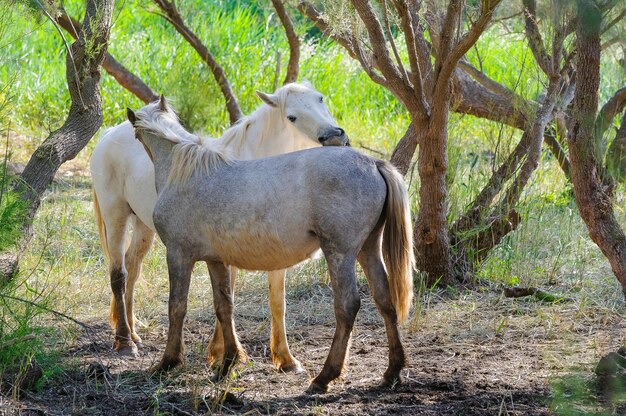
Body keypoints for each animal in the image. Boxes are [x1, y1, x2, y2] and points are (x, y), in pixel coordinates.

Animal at [90, 81, 348, 370]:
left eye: (321, 99)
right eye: (292, 117)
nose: (335, 137)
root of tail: (109, 133)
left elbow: (277, 303)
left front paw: (285, 358)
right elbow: (227, 297)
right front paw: (220, 352)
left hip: (144, 228)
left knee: (133, 269)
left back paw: (134, 333)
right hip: (116, 217)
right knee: (119, 275)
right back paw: (125, 342)